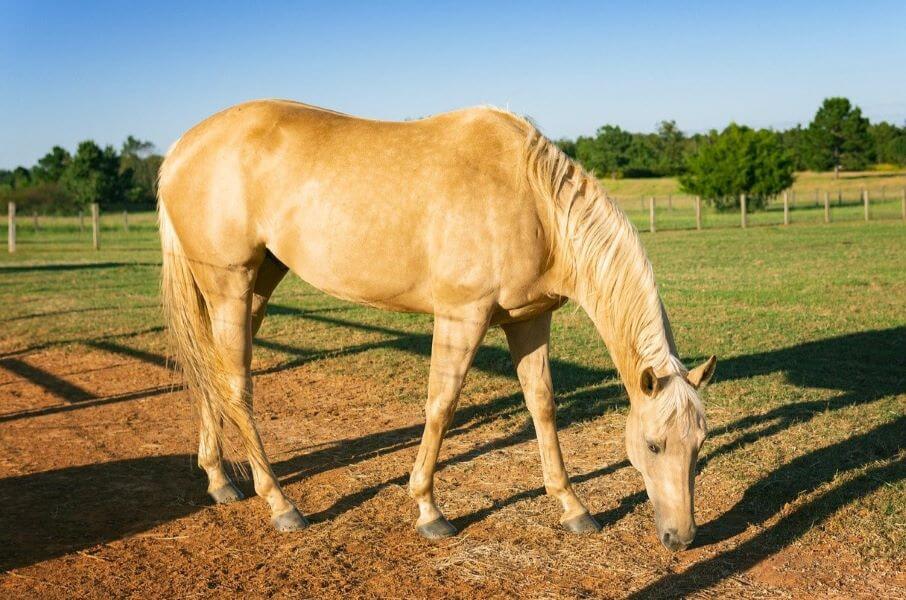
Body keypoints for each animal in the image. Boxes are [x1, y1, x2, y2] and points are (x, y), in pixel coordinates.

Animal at [159, 99, 716, 552]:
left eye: (700, 444)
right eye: (653, 445)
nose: (682, 538)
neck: (531, 200)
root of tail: (180, 150)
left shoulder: (530, 321)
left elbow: (542, 407)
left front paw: (573, 507)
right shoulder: (461, 316)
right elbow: (441, 406)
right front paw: (429, 510)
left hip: (258, 283)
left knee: (212, 373)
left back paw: (220, 481)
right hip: (230, 285)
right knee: (236, 385)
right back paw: (280, 504)